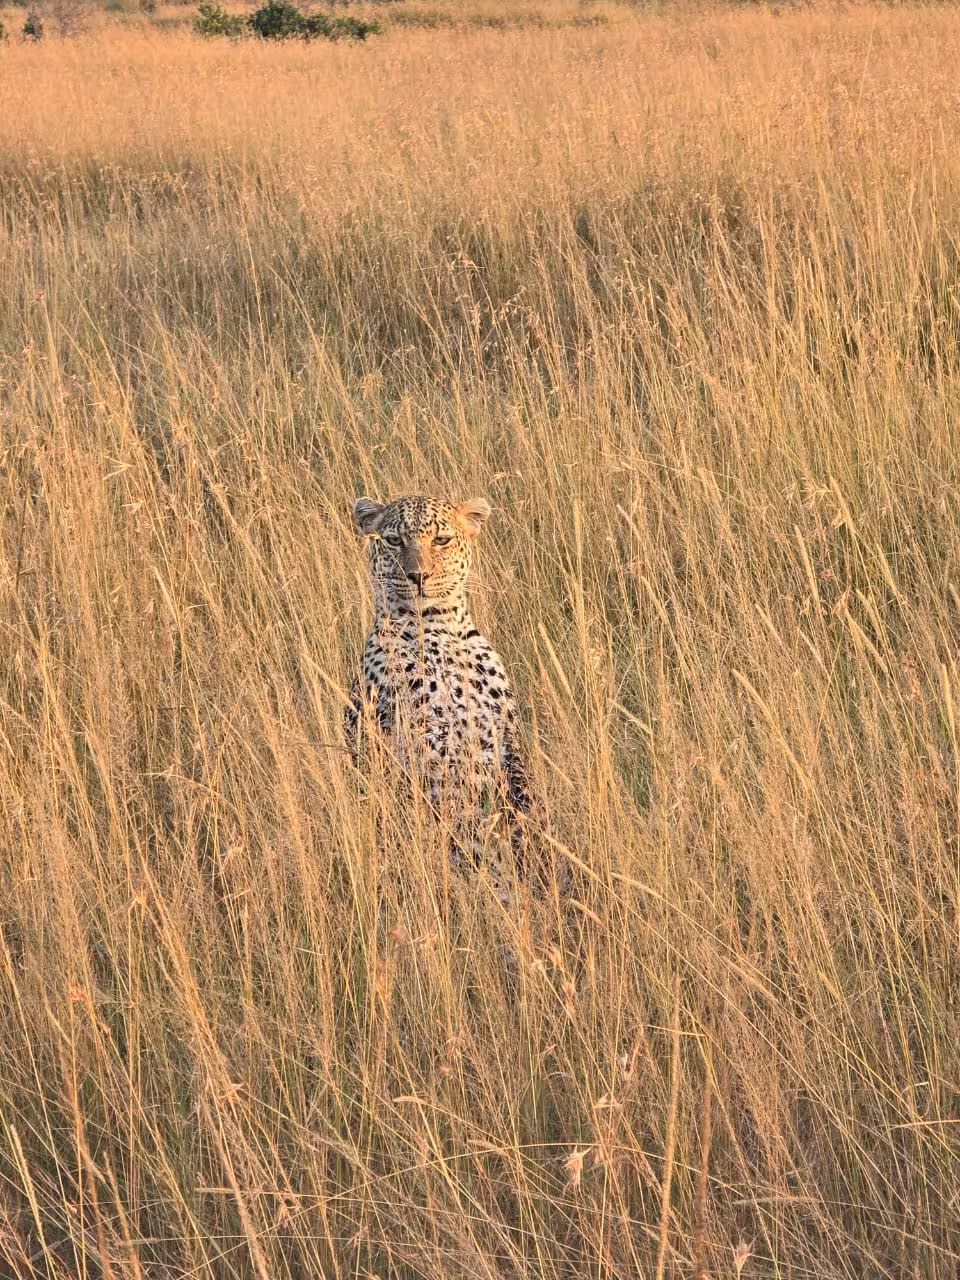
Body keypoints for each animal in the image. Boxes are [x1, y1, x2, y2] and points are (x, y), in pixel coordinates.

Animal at [344, 492, 536, 899]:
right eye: (393, 541)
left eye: (442, 540)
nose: (418, 576)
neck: (438, 628)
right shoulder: (426, 747)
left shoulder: (507, 739)